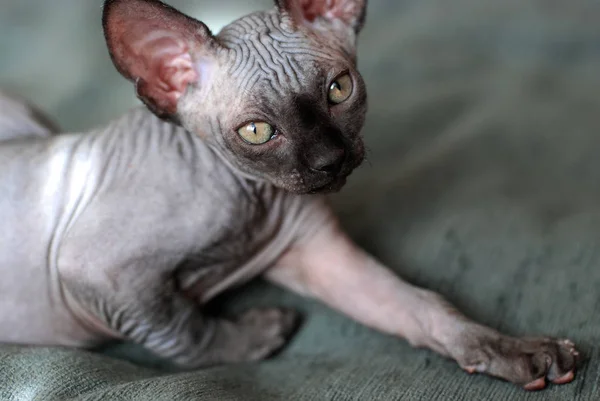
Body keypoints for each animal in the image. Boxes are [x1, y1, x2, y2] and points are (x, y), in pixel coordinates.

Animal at [0, 0, 580, 390]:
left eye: (339, 89)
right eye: (257, 132)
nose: (330, 160)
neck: (254, 201)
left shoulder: (314, 254)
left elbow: (424, 307)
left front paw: (512, 351)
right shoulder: (95, 270)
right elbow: (183, 331)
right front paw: (256, 336)